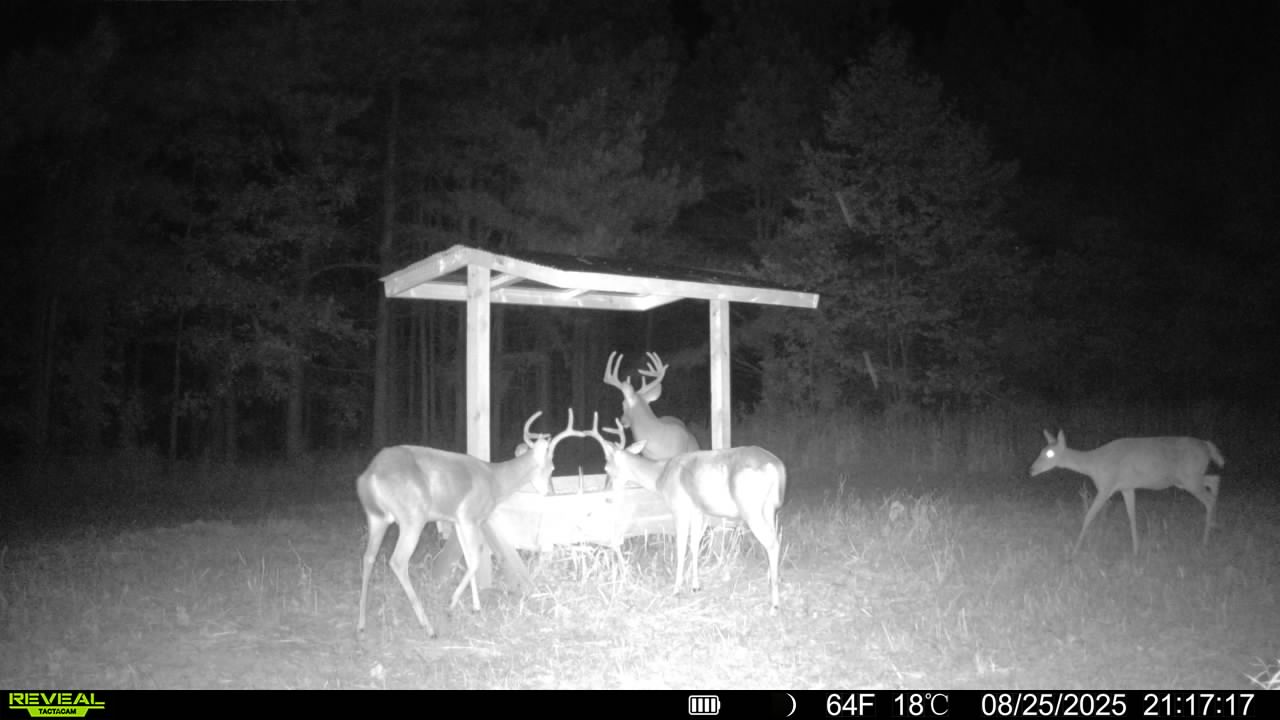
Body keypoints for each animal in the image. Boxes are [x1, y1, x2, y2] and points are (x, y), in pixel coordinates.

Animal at [356, 410, 581, 636]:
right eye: (552, 467)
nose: (551, 493)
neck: (495, 480)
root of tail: (370, 475)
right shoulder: (469, 517)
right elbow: (474, 559)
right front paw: (451, 605)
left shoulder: (458, 521)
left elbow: (467, 556)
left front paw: (475, 606)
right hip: (412, 517)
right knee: (398, 561)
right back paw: (428, 627)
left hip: (376, 517)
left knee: (368, 557)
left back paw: (361, 624)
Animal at [576, 413, 787, 613]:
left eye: (606, 467)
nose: (606, 492)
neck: (660, 476)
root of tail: (776, 466)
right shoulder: (698, 511)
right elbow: (694, 546)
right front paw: (695, 586)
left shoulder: (679, 508)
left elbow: (680, 548)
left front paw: (676, 589)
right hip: (770, 509)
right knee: (775, 539)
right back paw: (771, 582)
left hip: (752, 510)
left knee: (772, 543)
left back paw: (774, 604)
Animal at [1030, 429, 1224, 556]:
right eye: (1041, 451)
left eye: (1049, 454)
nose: (1031, 470)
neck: (1094, 464)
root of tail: (1207, 446)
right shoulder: (1126, 487)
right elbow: (1132, 516)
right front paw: (1136, 550)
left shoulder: (1106, 486)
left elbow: (1088, 516)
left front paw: (1074, 551)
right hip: (1187, 478)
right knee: (1215, 479)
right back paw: (1214, 526)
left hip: (1190, 478)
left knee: (1208, 499)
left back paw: (1205, 541)